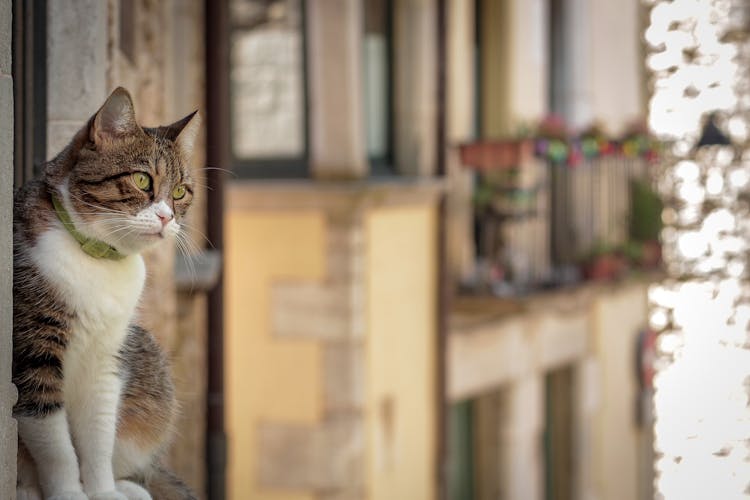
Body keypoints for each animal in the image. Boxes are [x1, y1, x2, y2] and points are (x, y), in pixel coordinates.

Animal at [12, 88, 200, 498]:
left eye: (180, 192)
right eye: (142, 180)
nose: (167, 217)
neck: (99, 259)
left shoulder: (107, 357)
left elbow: (98, 437)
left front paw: (102, 492)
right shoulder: (34, 350)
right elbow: (55, 444)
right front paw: (69, 493)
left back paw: (129, 488)